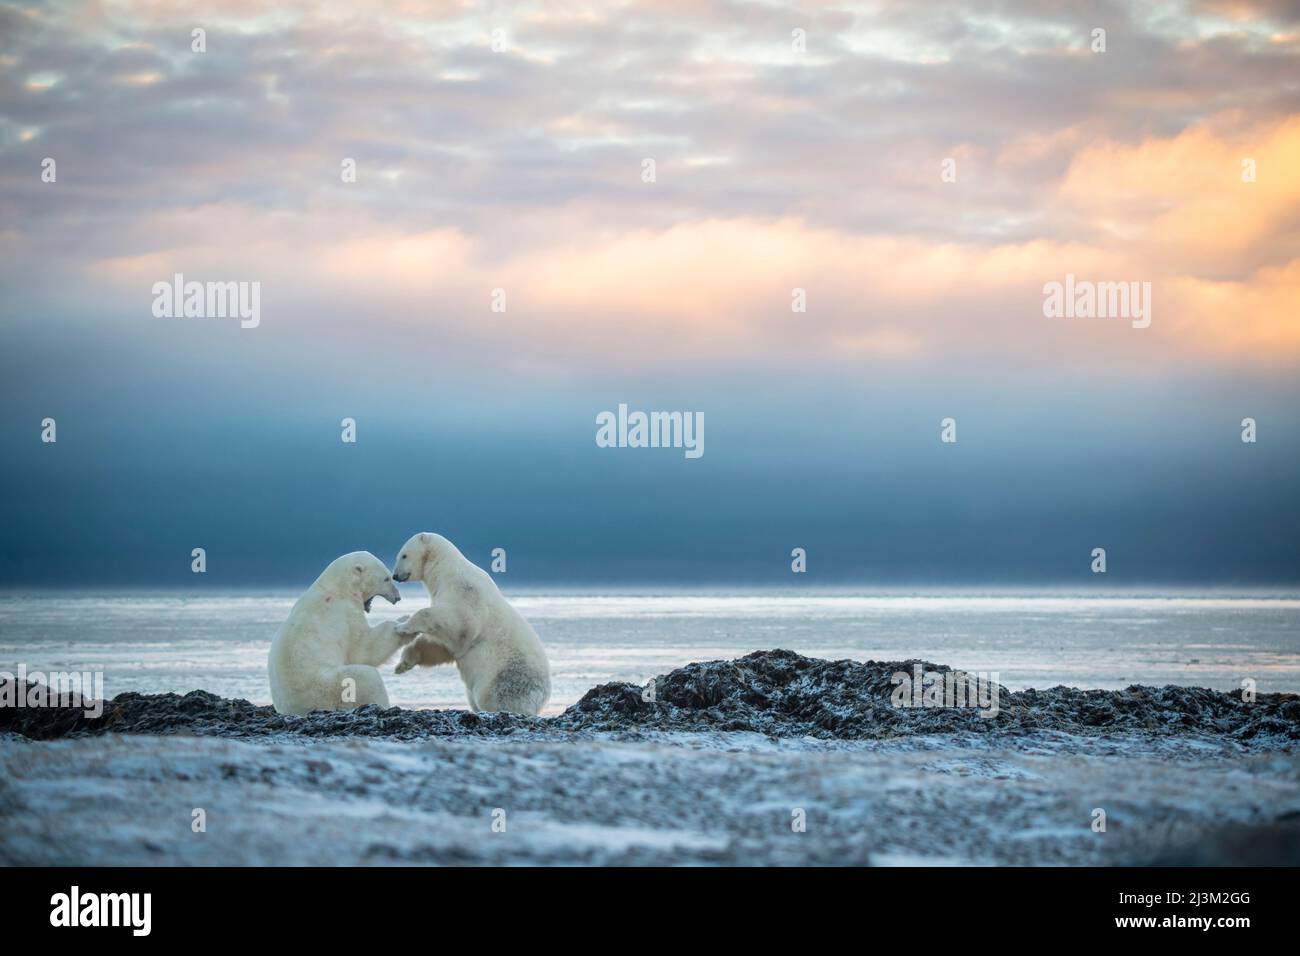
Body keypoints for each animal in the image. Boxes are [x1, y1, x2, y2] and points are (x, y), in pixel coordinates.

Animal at [263, 548, 405, 712]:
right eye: (386, 579)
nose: (398, 597)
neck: (339, 589)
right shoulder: (345, 614)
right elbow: (364, 649)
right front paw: (402, 621)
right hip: (331, 687)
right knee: (367, 677)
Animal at [384, 535, 548, 712]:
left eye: (404, 555)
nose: (395, 575)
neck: (444, 568)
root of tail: (542, 696)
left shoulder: (464, 590)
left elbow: (459, 623)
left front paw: (401, 627)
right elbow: (443, 646)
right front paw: (402, 665)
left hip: (507, 678)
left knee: (496, 697)